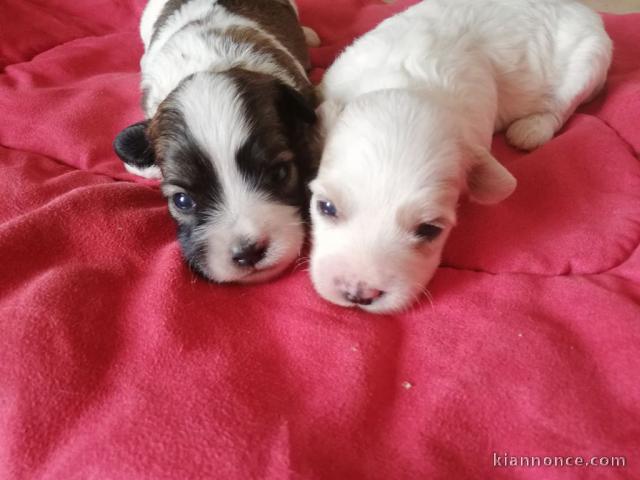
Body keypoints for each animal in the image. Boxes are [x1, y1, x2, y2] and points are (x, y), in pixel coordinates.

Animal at [312, 0, 616, 312]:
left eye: (429, 230)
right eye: (326, 207)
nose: (358, 294)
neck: (405, 86)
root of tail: (579, 7)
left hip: (589, 60)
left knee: (561, 106)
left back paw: (531, 129)